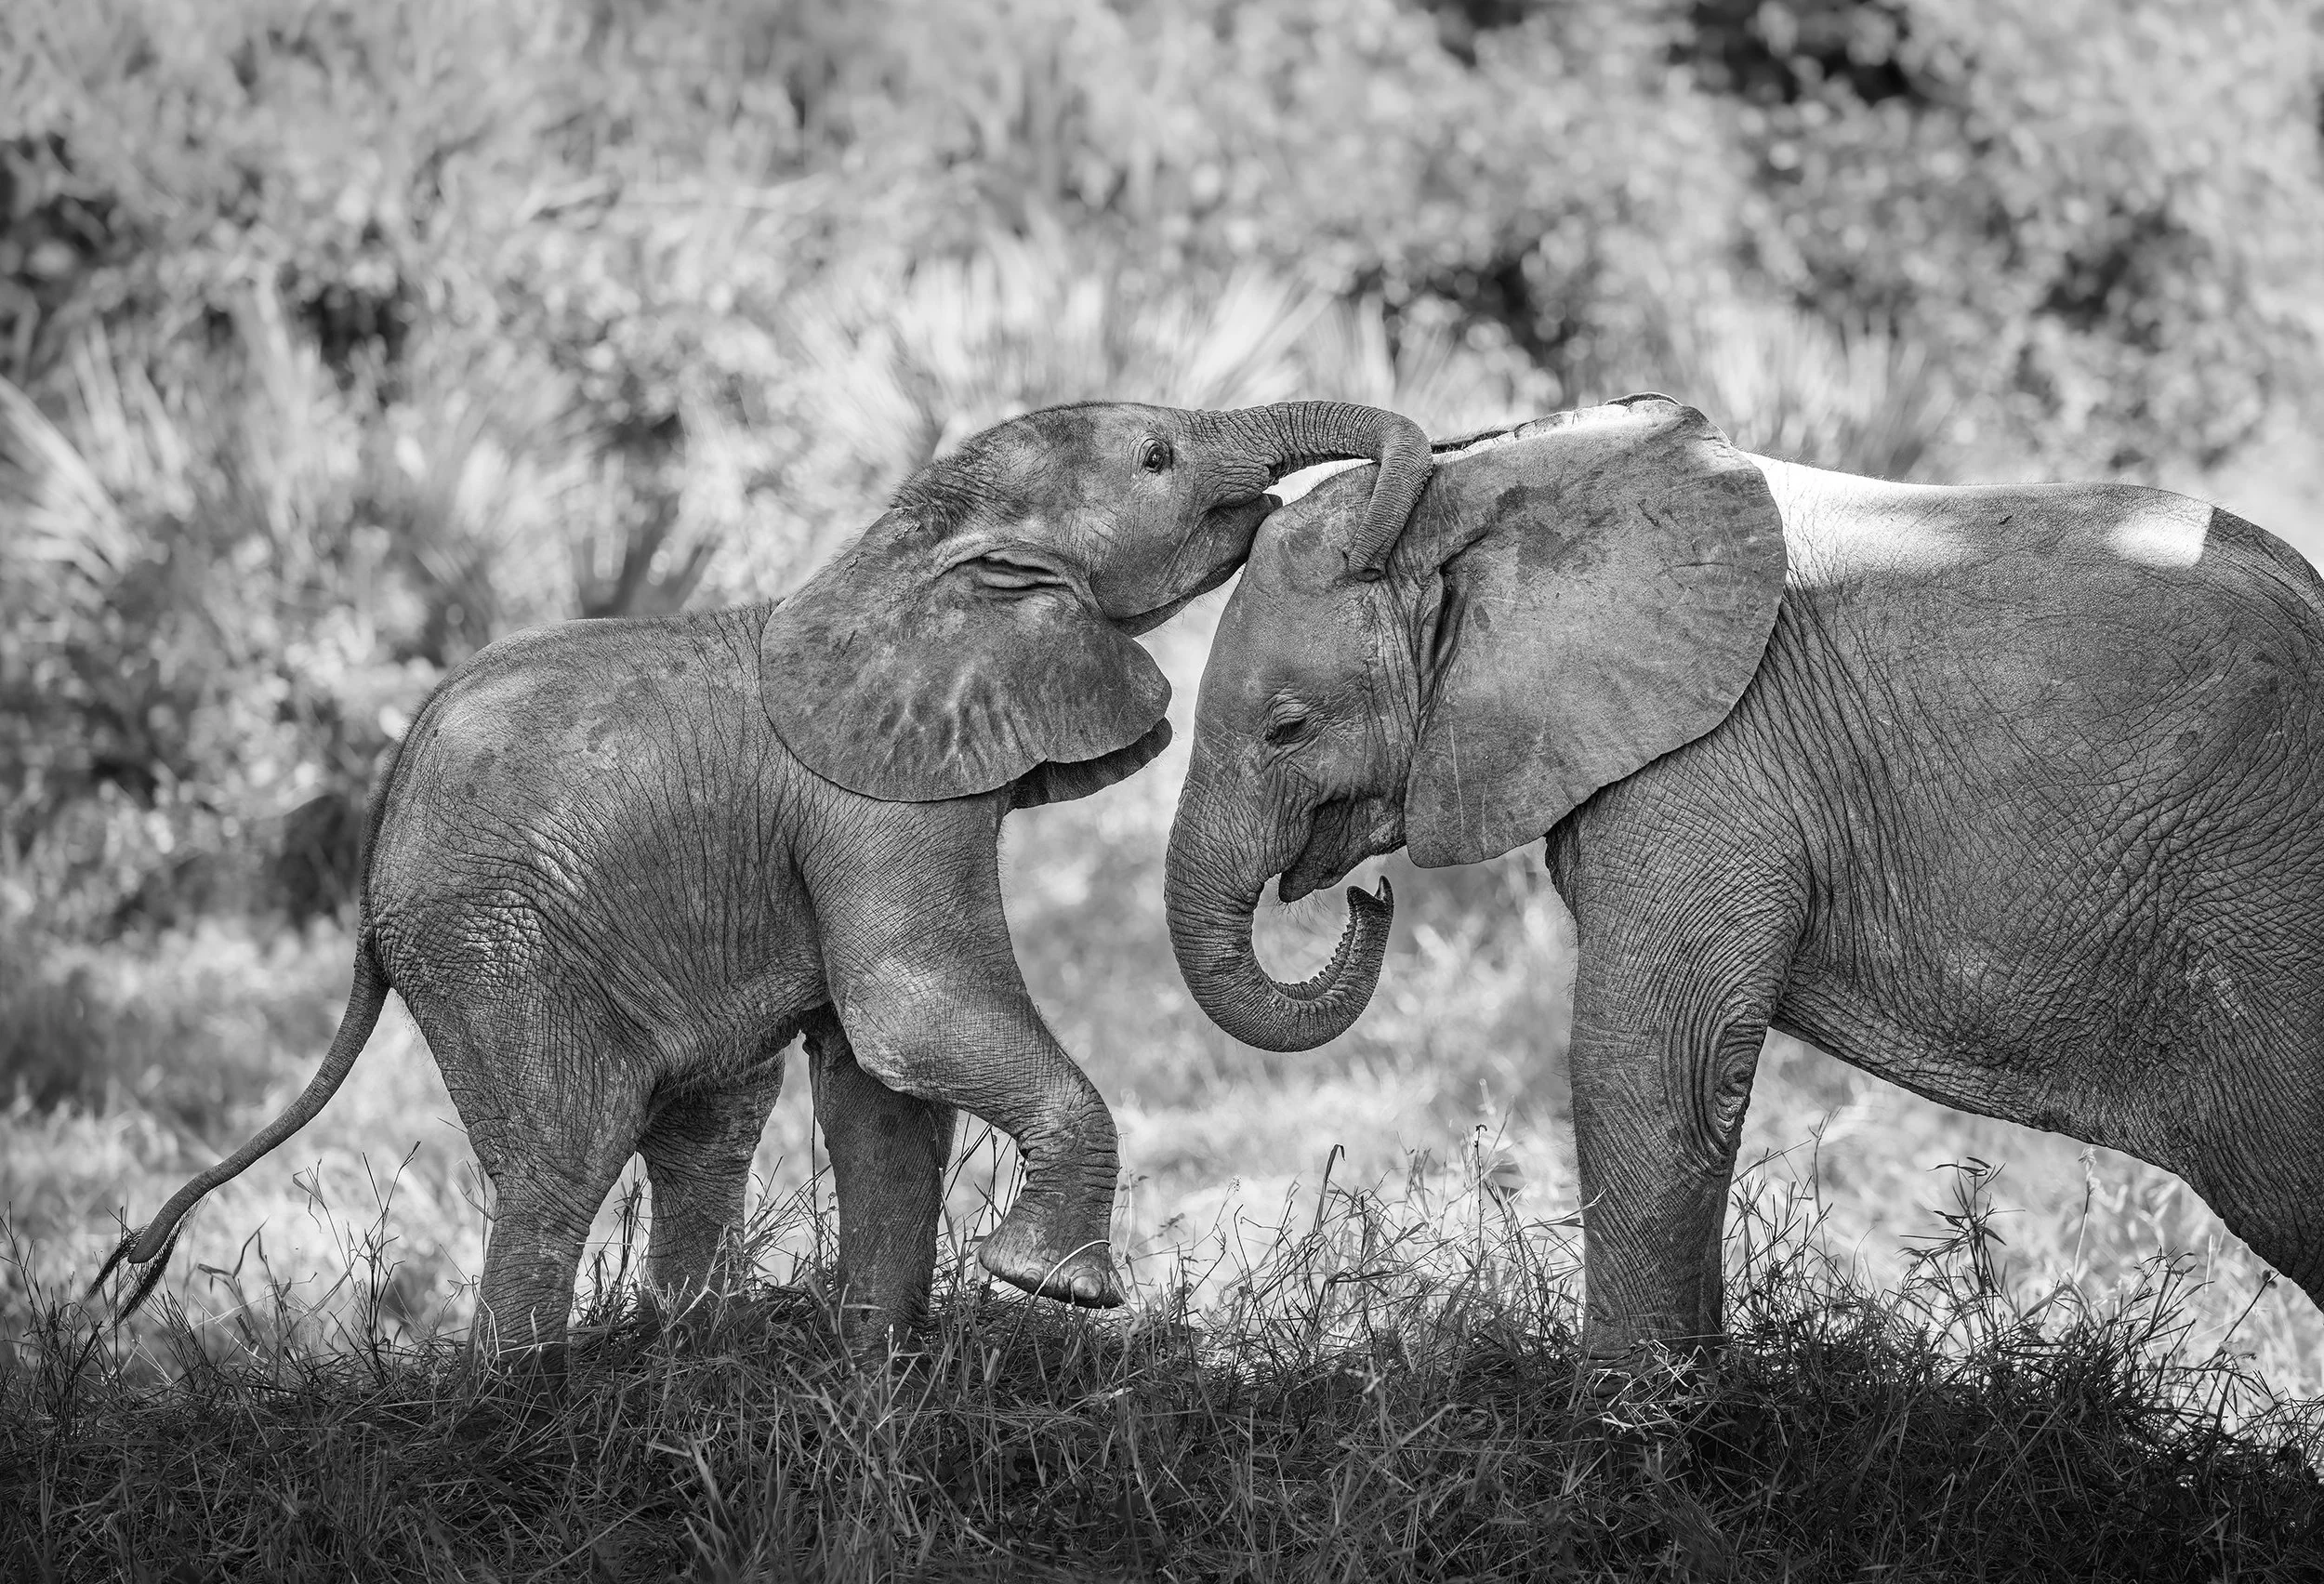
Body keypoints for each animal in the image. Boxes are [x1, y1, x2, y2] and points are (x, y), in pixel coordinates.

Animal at [96, 398, 1431, 1362]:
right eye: (1158, 456)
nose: (1367, 891)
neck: (909, 551)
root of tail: (378, 840)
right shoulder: (877, 807)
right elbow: (910, 1015)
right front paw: (1054, 1287)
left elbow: (882, 1087)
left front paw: (882, 1372)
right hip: (490, 942)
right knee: (563, 1159)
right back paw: (518, 1397)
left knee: (706, 1132)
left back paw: (687, 1357)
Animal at [1164, 393, 2324, 1361]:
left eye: (1287, 729)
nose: (1367, 898)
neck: (1483, 484)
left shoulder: (1710, 767)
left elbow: (1650, 1065)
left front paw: (1625, 1435)